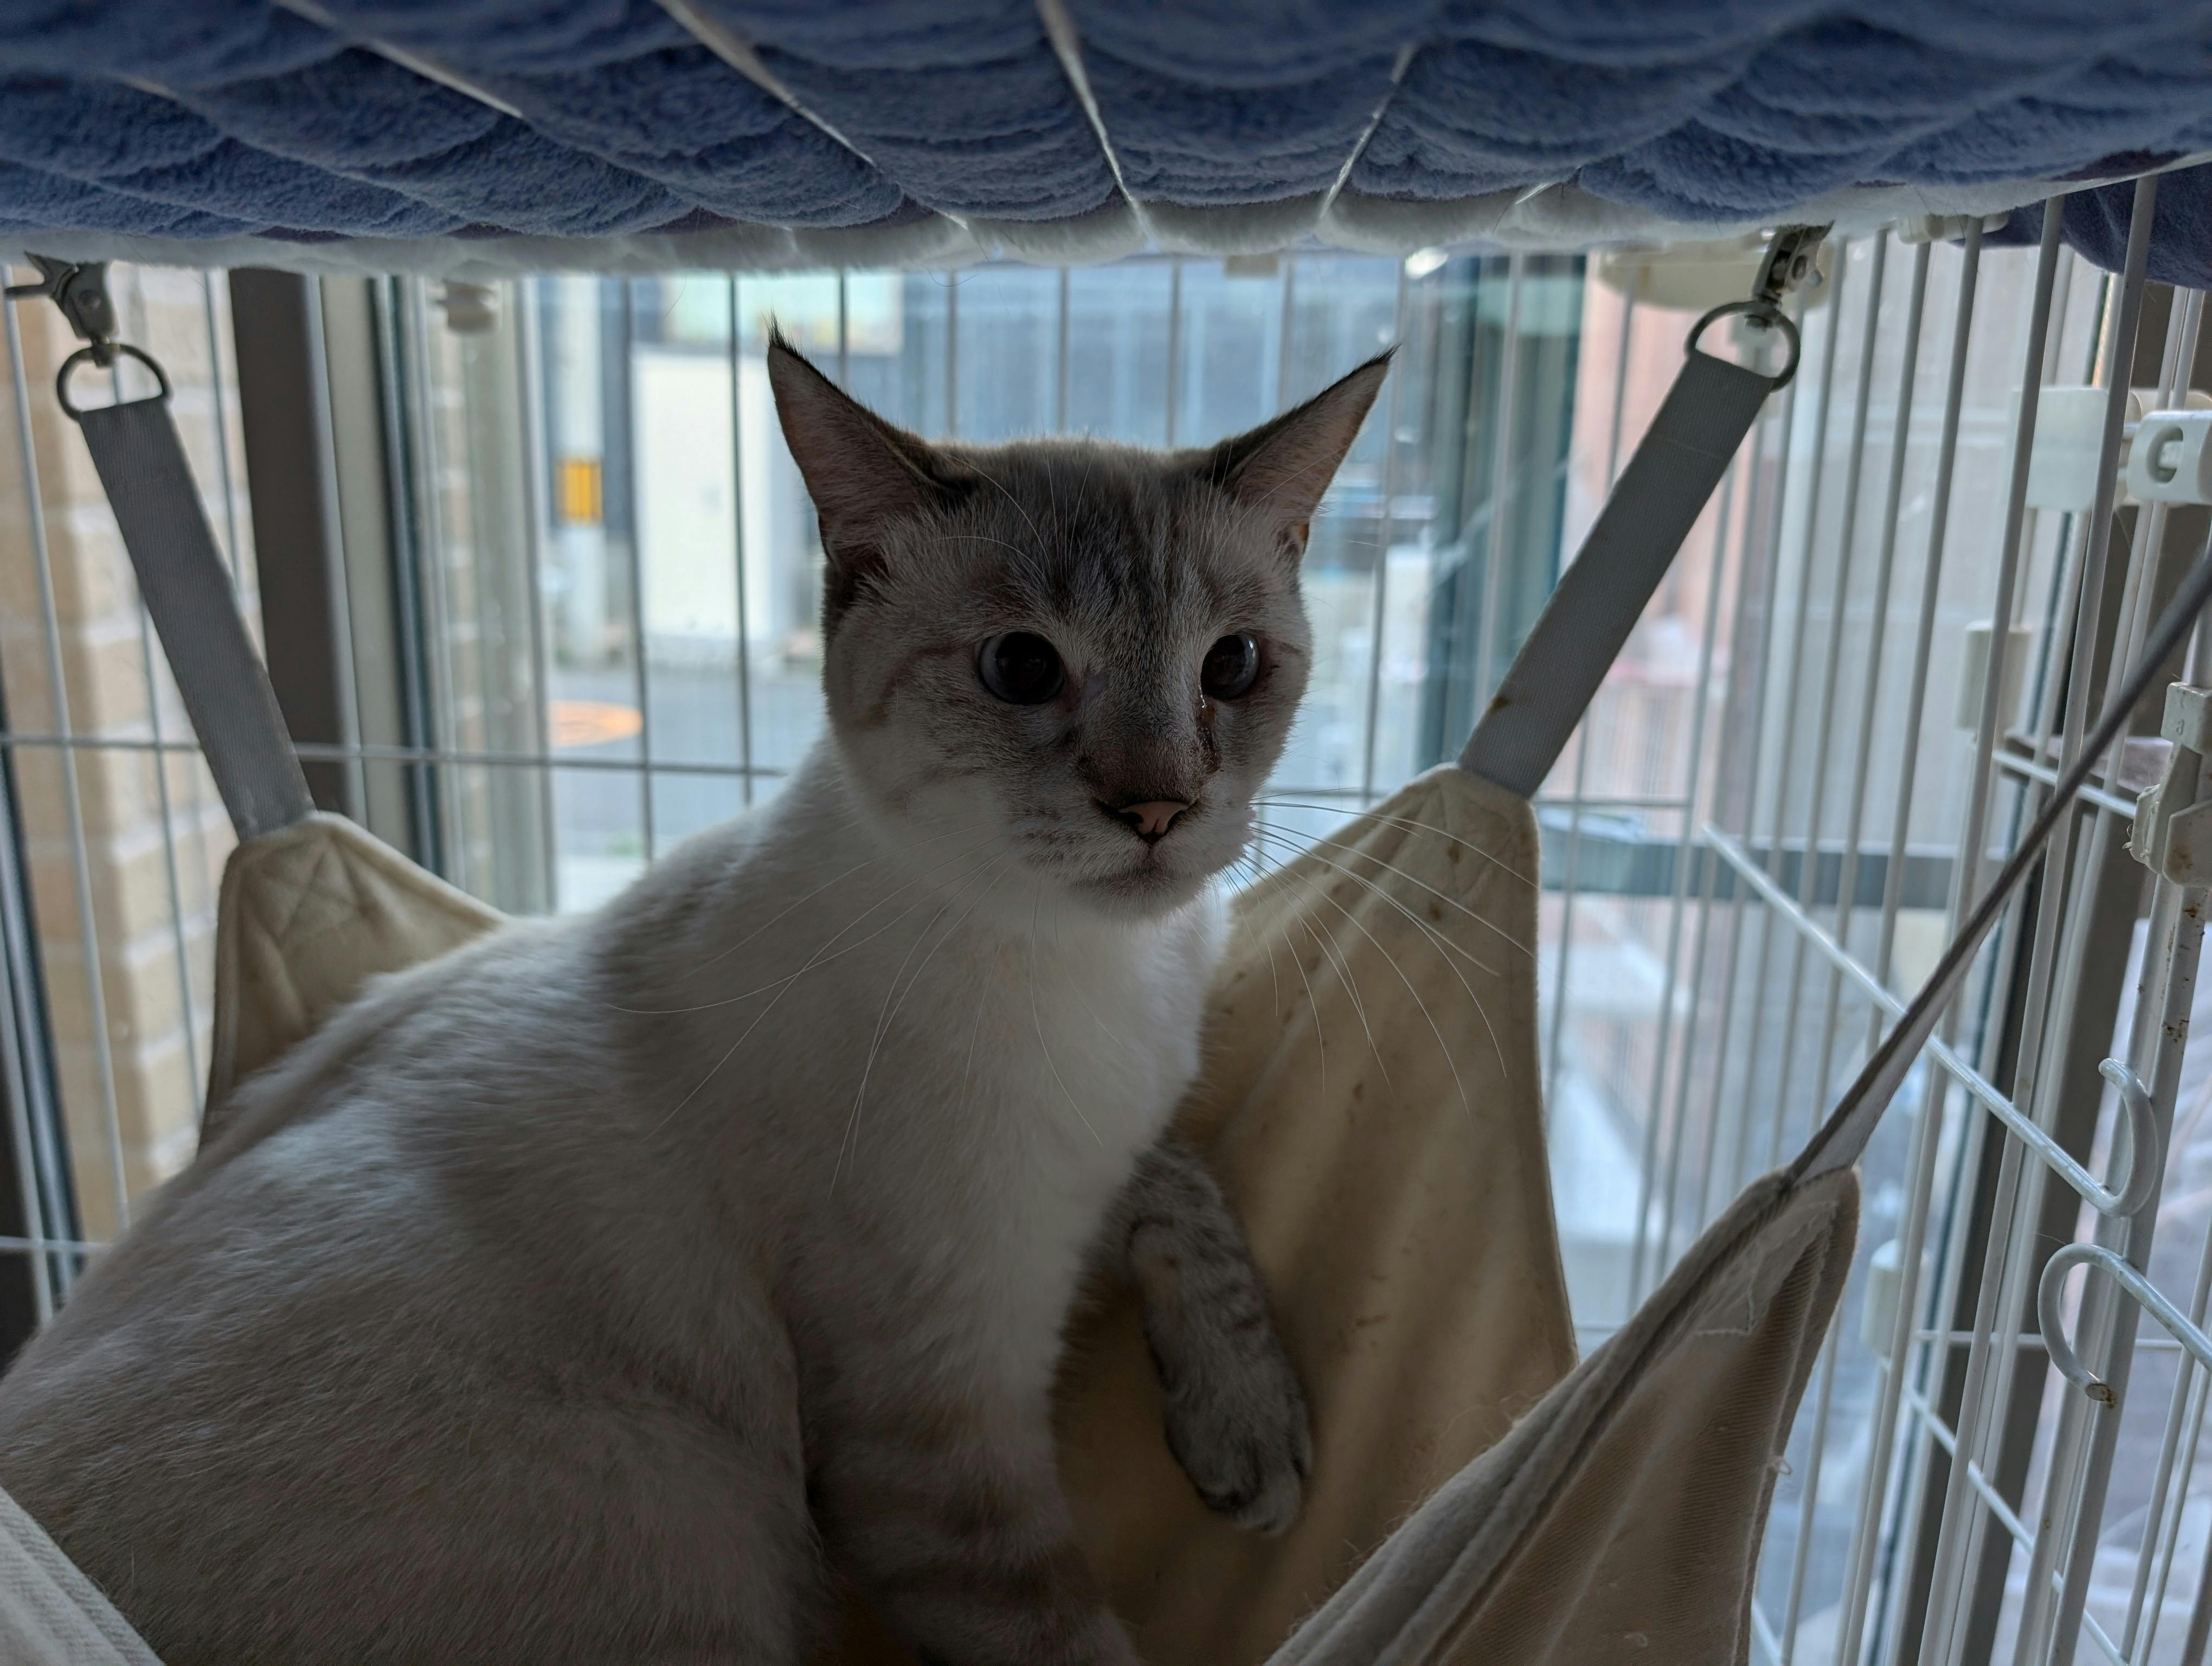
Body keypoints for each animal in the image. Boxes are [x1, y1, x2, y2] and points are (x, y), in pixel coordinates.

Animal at [0, 329, 1389, 1666]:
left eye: (1233, 666)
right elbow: (1059, 1631)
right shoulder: (938, 1417)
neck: (1098, 975)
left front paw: (1250, 1433)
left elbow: (1185, 1185)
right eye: (1019, 666)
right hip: (688, 1521)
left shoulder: (1093, 1166)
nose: (1156, 809)